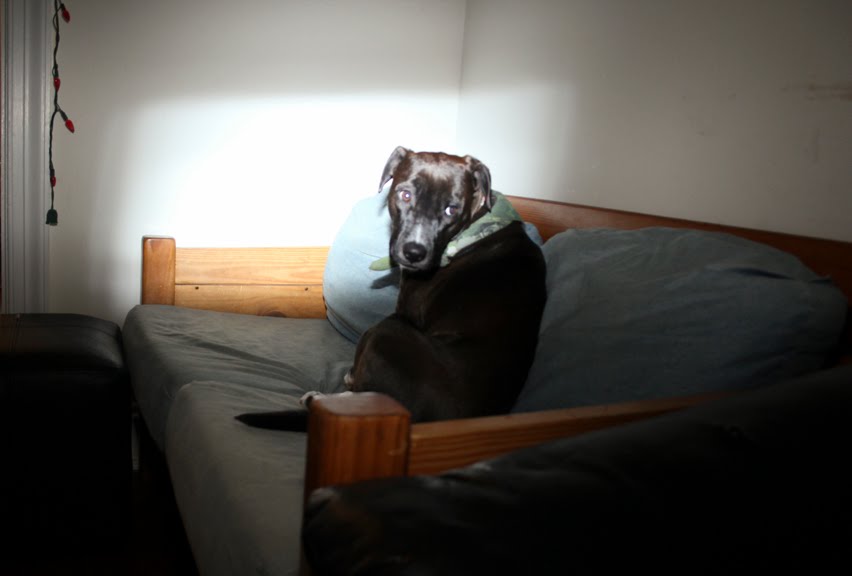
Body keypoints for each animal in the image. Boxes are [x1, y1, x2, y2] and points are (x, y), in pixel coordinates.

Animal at [236, 147, 546, 429]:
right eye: (405, 195)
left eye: (451, 209)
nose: (414, 252)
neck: (474, 226)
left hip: (387, 329)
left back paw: (320, 398)